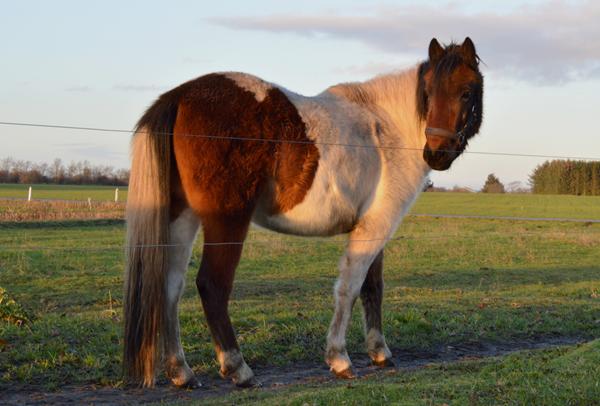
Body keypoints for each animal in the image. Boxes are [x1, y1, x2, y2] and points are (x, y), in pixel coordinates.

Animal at [122, 37, 482, 386]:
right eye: (428, 93)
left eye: (466, 92)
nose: (436, 154)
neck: (385, 129)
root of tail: (179, 96)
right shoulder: (376, 227)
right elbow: (349, 289)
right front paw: (339, 359)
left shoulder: (373, 227)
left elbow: (372, 288)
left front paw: (379, 352)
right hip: (227, 222)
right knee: (212, 285)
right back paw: (239, 369)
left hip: (181, 218)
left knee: (170, 286)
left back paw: (181, 372)